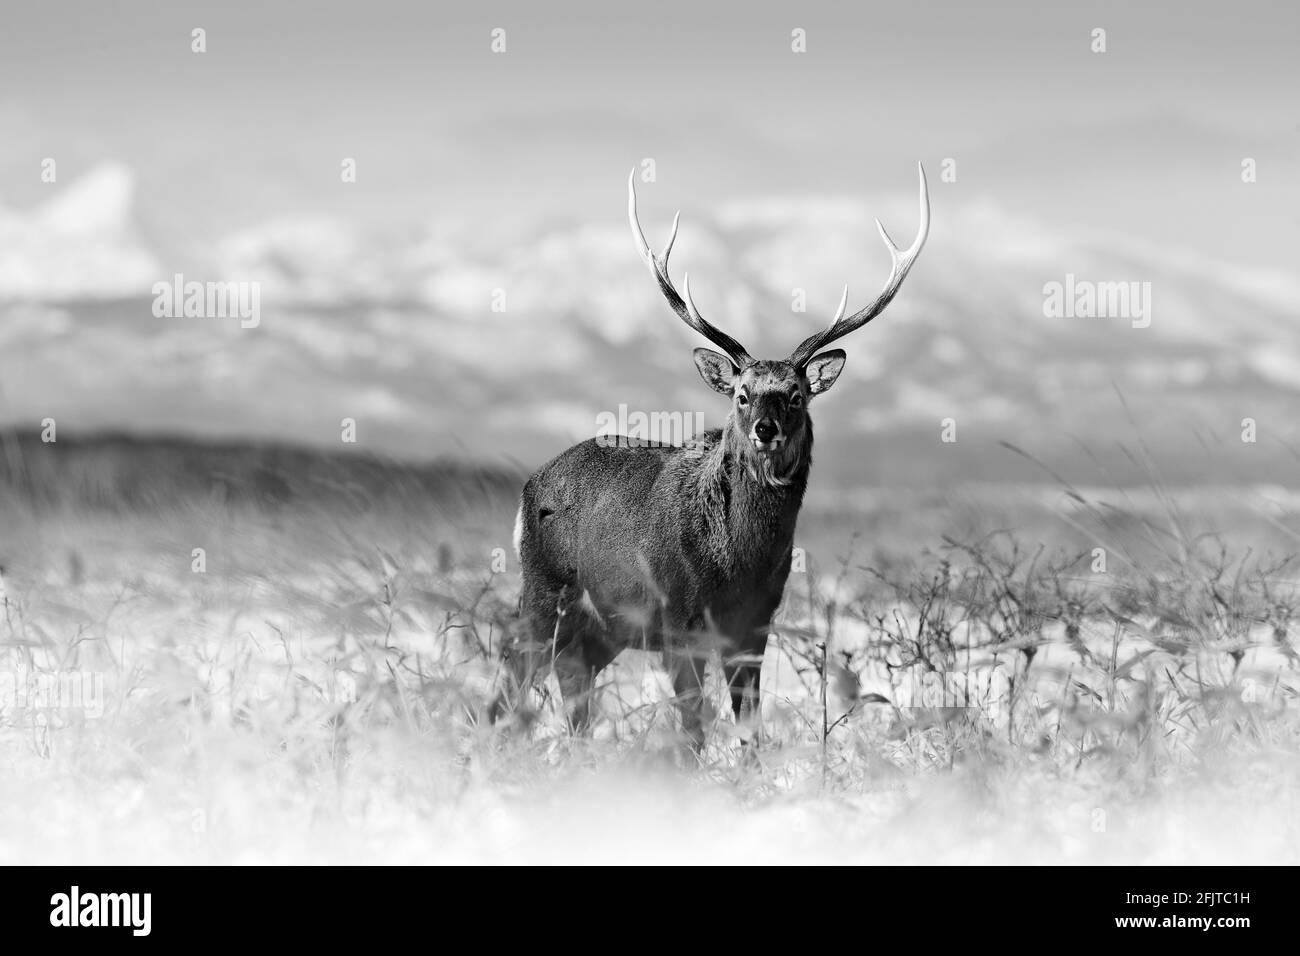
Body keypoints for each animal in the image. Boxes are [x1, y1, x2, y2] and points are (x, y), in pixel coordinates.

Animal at [499, 162, 935, 749]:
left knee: (574, 691)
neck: (739, 564)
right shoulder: (679, 624)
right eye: (742, 394)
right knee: (511, 676)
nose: (766, 429)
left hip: (601, 629)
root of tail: (529, 489)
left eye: (796, 394)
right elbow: (693, 729)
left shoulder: (754, 629)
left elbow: (750, 731)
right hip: (543, 592)